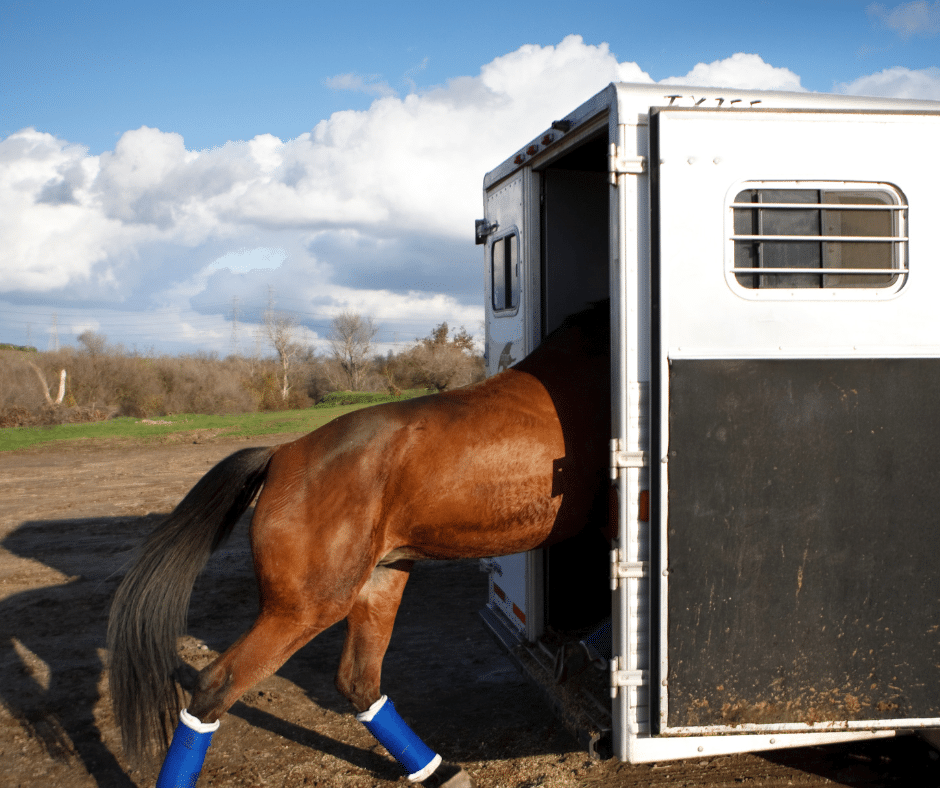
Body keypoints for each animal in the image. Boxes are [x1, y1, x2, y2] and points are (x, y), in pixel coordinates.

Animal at [108, 300, 608, 780]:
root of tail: (282, 454)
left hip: (380, 580)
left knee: (357, 682)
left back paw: (438, 770)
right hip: (307, 607)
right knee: (216, 686)